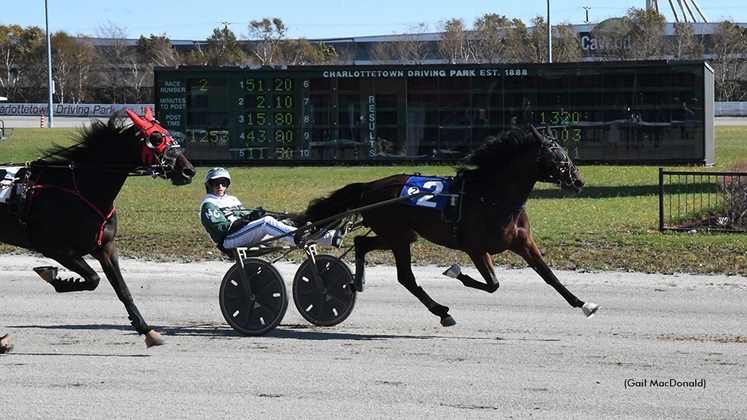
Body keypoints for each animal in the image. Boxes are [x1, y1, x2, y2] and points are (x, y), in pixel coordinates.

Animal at [0, 108, 196, 352]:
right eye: (156, 138)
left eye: (167, 134)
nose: (188, 171)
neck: (81, 189)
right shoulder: (58, 250)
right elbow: (93, 279)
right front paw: (55, 278)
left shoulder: (105, 247)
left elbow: (122, 289)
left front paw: (146, 330)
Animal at [300, 126, 600, 326]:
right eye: (556, 156)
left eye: (564, 152)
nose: (578, 181)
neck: (492, 195)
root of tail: (370, 187)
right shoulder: (475, 248)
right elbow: (492, 284)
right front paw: (455, 272)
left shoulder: (523, 242)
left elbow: (549, 275)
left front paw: (584, 304)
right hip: (397, 236)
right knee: (405, 277)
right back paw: (441, 311)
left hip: (397, 235)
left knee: (361, 243)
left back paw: (357, 282)